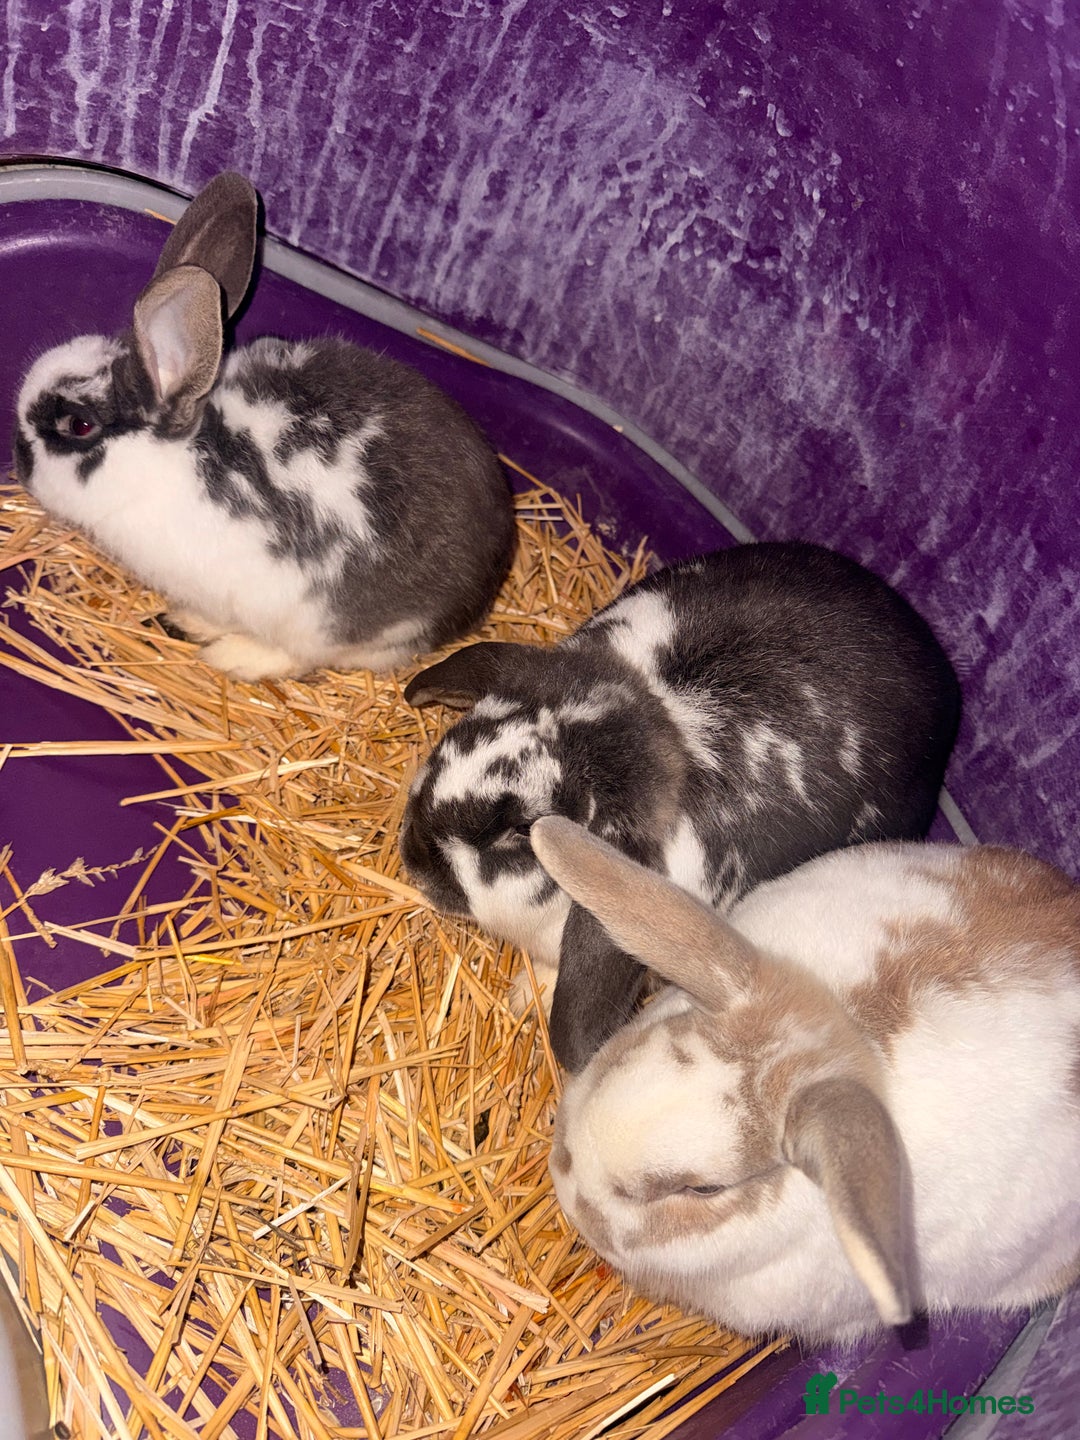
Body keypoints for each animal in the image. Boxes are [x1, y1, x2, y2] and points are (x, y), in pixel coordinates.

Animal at [11, 172, 515, 681]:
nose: (19, 457)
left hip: (317, 622)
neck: (173, 460)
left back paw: (230, 654)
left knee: (299, 655)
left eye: (79, 425)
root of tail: (470, 603)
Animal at [400, 542, 961, 1072]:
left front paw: (525, 995)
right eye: (461, 739)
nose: (413, 856)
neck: (646, 719)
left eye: (521, 831)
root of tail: (940, 672)